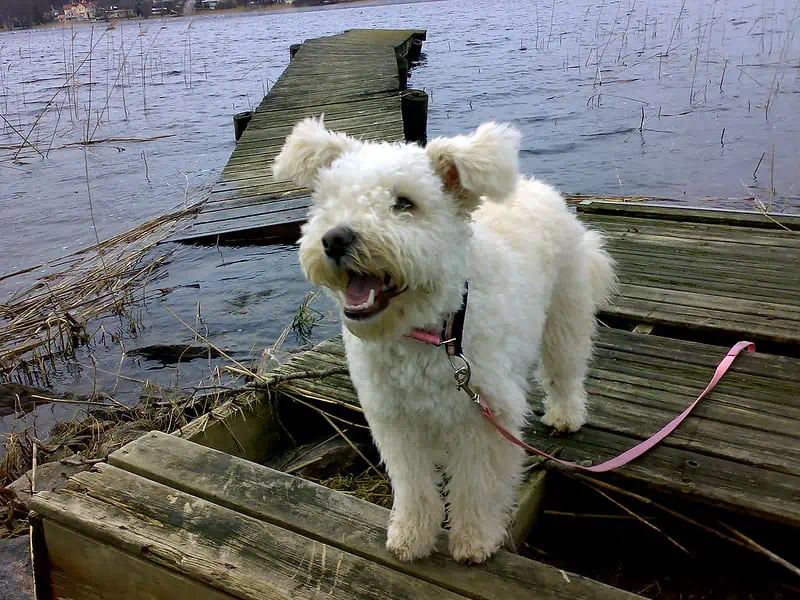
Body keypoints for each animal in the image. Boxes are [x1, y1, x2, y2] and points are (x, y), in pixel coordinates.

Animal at [272, 118, 616, 568]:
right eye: (329, 201)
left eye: (404, 203)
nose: (335, 238)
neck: (431, 331)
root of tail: (536, 186)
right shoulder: (397, 422)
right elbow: (414, 487)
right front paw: (411, 537)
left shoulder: (485, 419)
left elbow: (477, 487)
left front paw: (474, 542)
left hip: (565, 312)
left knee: (565, 368)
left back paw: (565, 415)